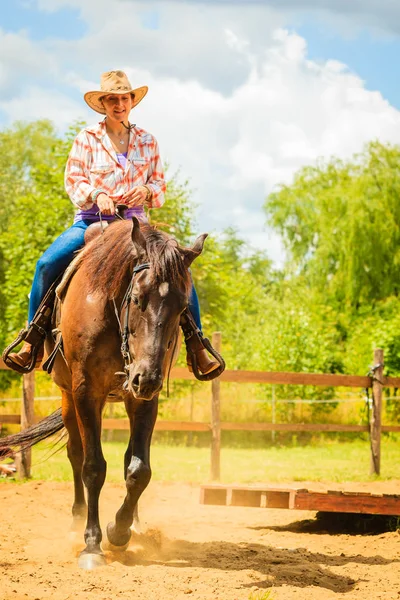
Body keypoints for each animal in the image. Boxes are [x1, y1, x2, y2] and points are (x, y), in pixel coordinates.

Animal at [0, 218, 206, 568]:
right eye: (137, 298)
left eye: (182, 307)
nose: (146, 377)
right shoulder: (86, 392)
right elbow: (93, 467)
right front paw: (92, 545)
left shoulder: (143, 400)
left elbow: (139, 470)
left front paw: (119, 531)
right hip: (68, 397)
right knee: (75, 453)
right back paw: (76, 520)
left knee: (127, 460)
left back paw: (136, 525)